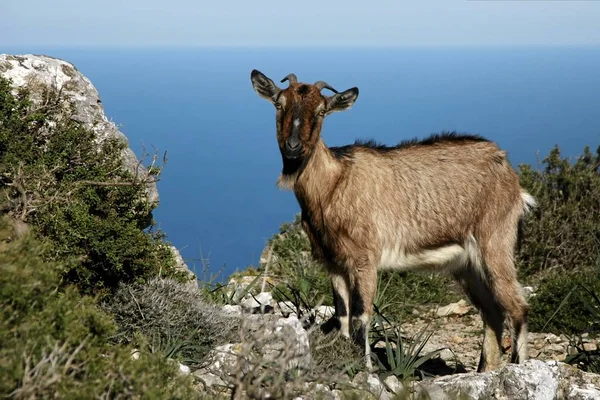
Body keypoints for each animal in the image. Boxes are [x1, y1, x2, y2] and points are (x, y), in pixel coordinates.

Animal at [248, 69, 536, 372]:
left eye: (321, 111)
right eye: (279, 105)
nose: (293, 148)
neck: (333, 184)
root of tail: (509, 171)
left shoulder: (365, 259)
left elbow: (360, 316)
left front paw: (365, 369)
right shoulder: (333, 262)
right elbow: (342, 316)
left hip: (495, 241)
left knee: (517, 307)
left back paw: (517, 366)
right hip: (467, 265)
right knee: (492, 313)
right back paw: (484, 371)